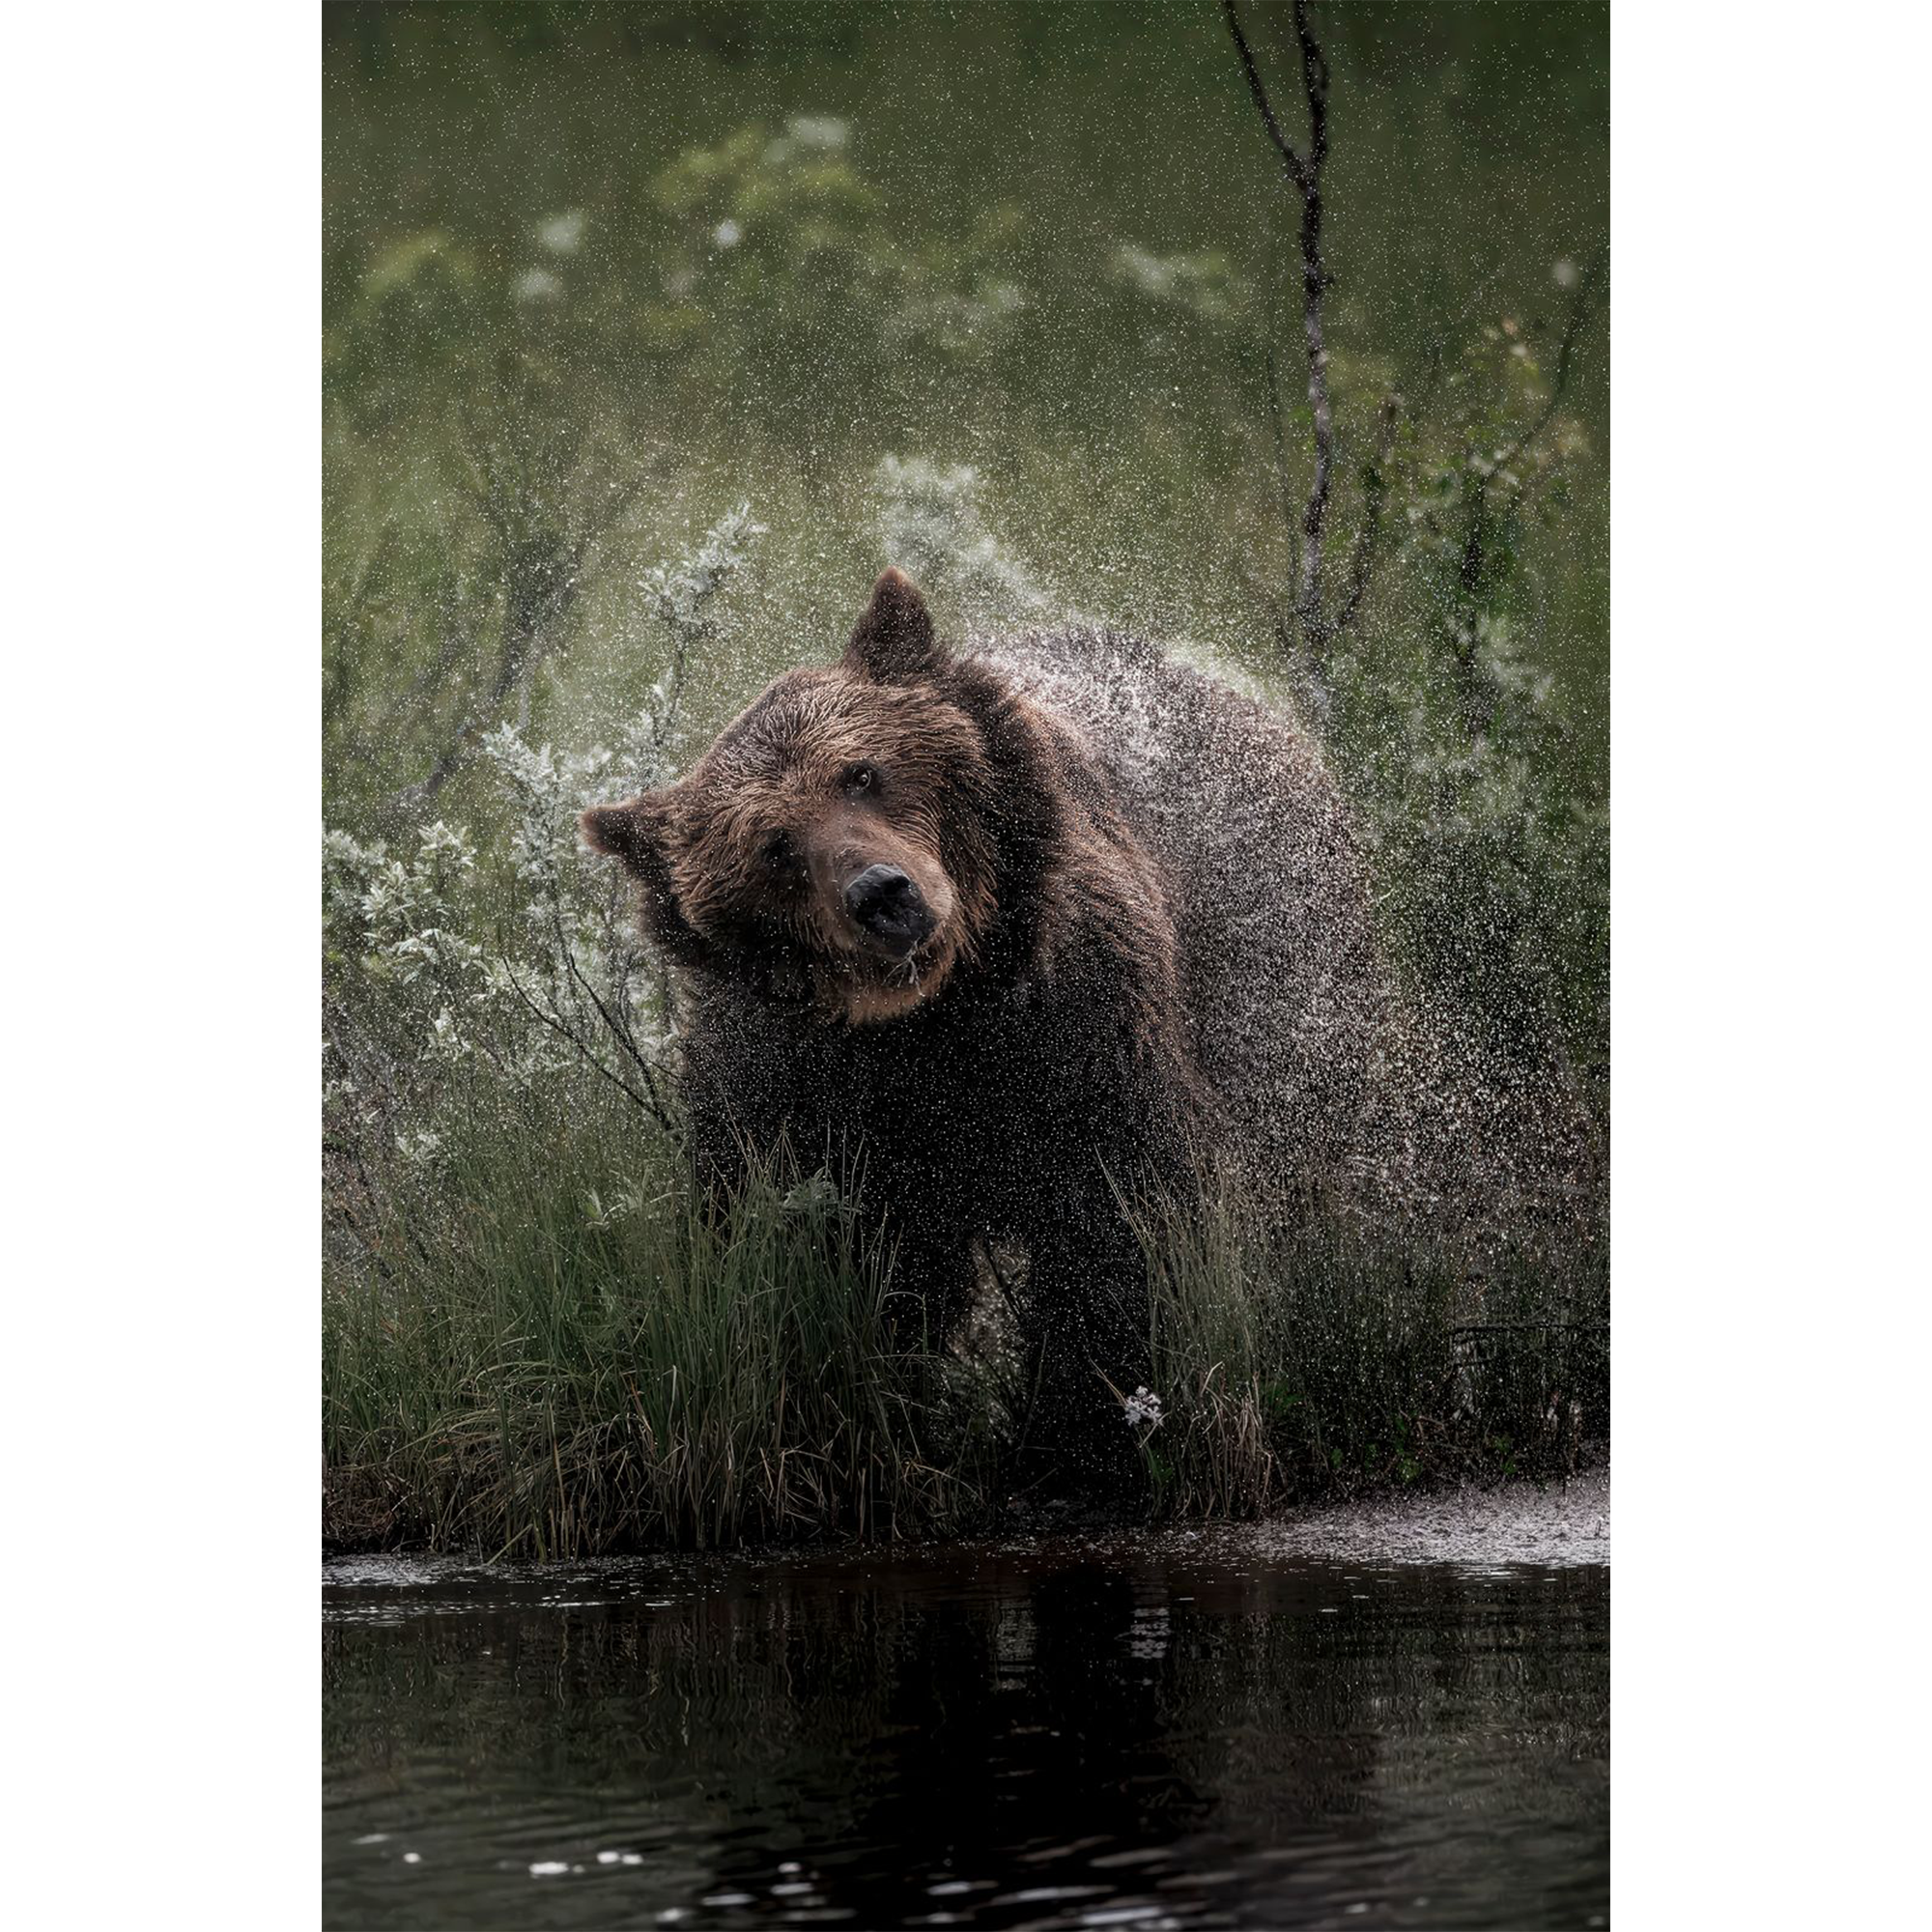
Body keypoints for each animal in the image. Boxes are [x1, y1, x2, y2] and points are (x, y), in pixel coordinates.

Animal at [583, 568, 1406, 1482]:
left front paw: (1080, 1422)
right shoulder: (795, 1080)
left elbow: (1121, 1215)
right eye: (773, 846)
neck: (939, 1021)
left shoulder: (1082, 1026)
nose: (882, 893)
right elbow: (812, 1244)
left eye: (861, 772)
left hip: (1280, 956)